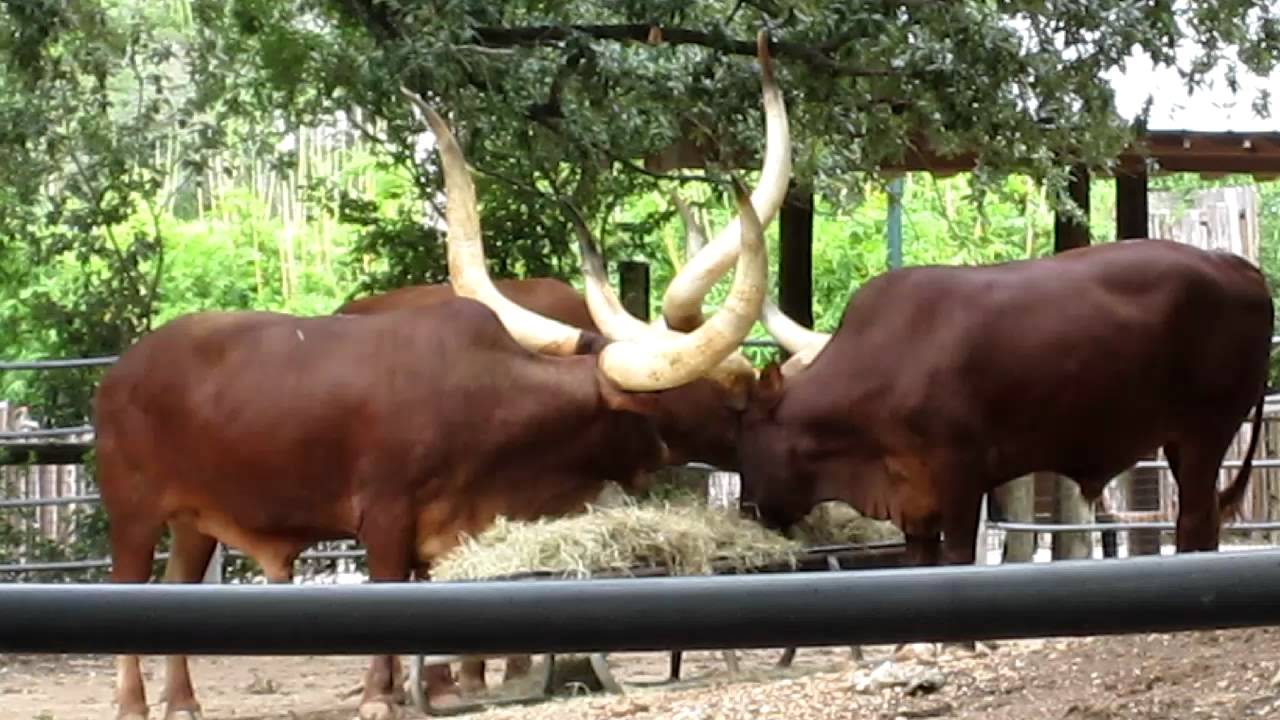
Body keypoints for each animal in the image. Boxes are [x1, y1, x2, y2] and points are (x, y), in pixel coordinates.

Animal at [94, 89, 769, 720]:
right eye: (683, 393)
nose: (754, 398)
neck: (488, 400)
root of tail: (122, 369)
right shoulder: (386, 517)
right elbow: (388, 592)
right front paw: (379, 696)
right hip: (133, 513)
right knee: (125, 584)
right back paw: (131, 702)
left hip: (192, 520)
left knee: (176, 587)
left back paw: (183, 701)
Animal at [734, 239, 1272, 572]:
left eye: (746, 442)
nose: (747, 510)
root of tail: (1234, 265)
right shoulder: (914, 493)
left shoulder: (959, 474)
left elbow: (955, 556)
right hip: (1184, 441)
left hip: (1207, 430)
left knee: (1195, 519)